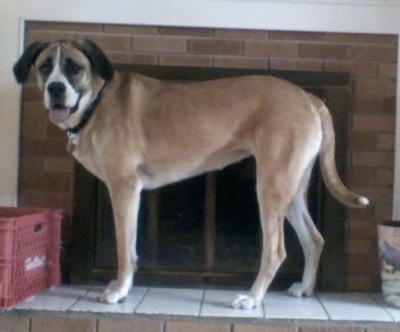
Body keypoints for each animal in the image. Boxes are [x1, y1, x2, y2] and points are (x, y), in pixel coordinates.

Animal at [12, 40, 368, 310]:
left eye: (73, 67)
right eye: (45, 66)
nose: (56, 89)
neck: (95, 102)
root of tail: (308, 97)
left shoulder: (124, 188)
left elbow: (124, 248)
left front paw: (119, 291)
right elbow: (131, 248)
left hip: (271, 186)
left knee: (276, 250)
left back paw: (252, 299)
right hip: (292, 188)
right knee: (314, 239)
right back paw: (304, 288)